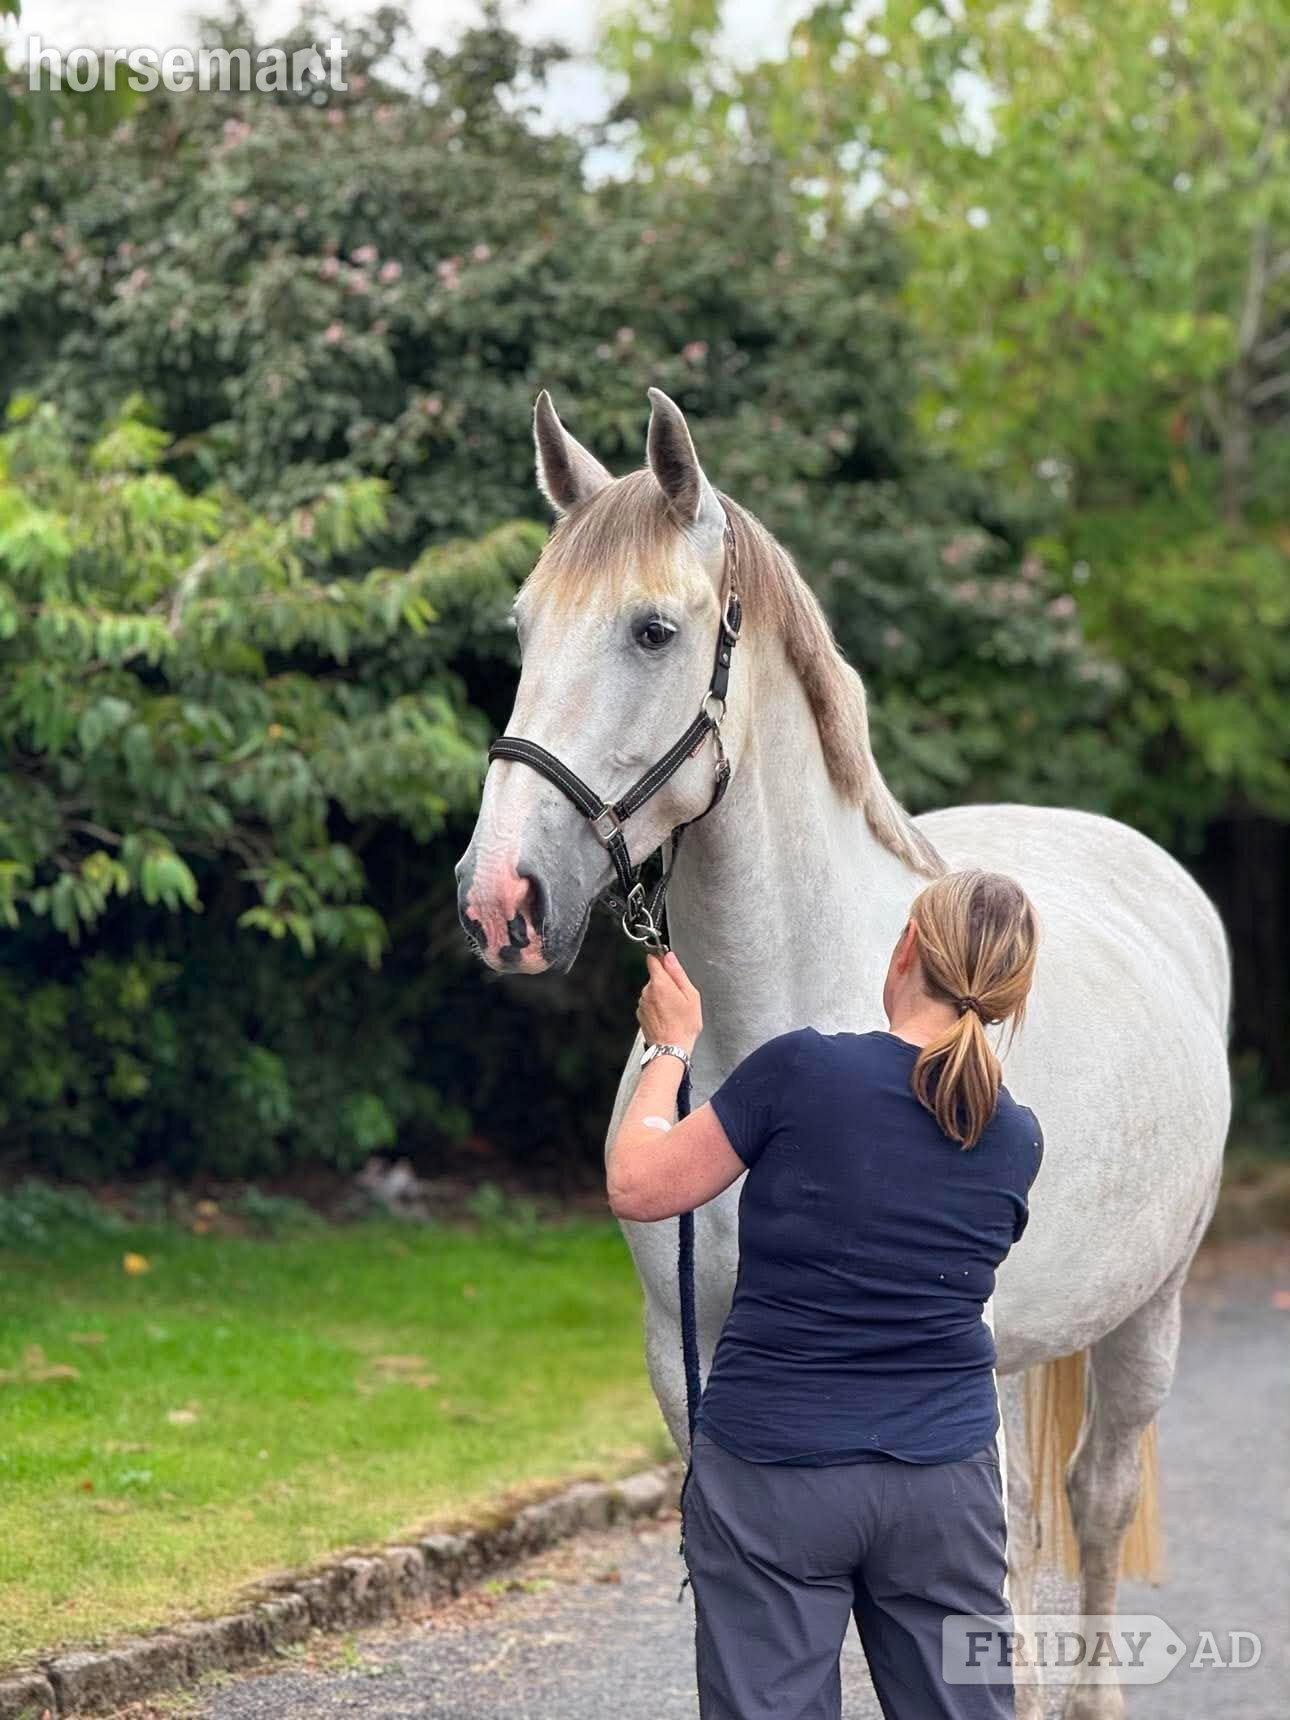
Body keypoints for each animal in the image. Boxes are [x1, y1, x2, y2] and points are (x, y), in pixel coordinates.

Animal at [456, 388, 1231, 1719]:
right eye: (523, 624)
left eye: (653, 630)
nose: (500, 898)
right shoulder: (689, 1370)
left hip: (1149, 1307)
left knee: (1090, 1499)